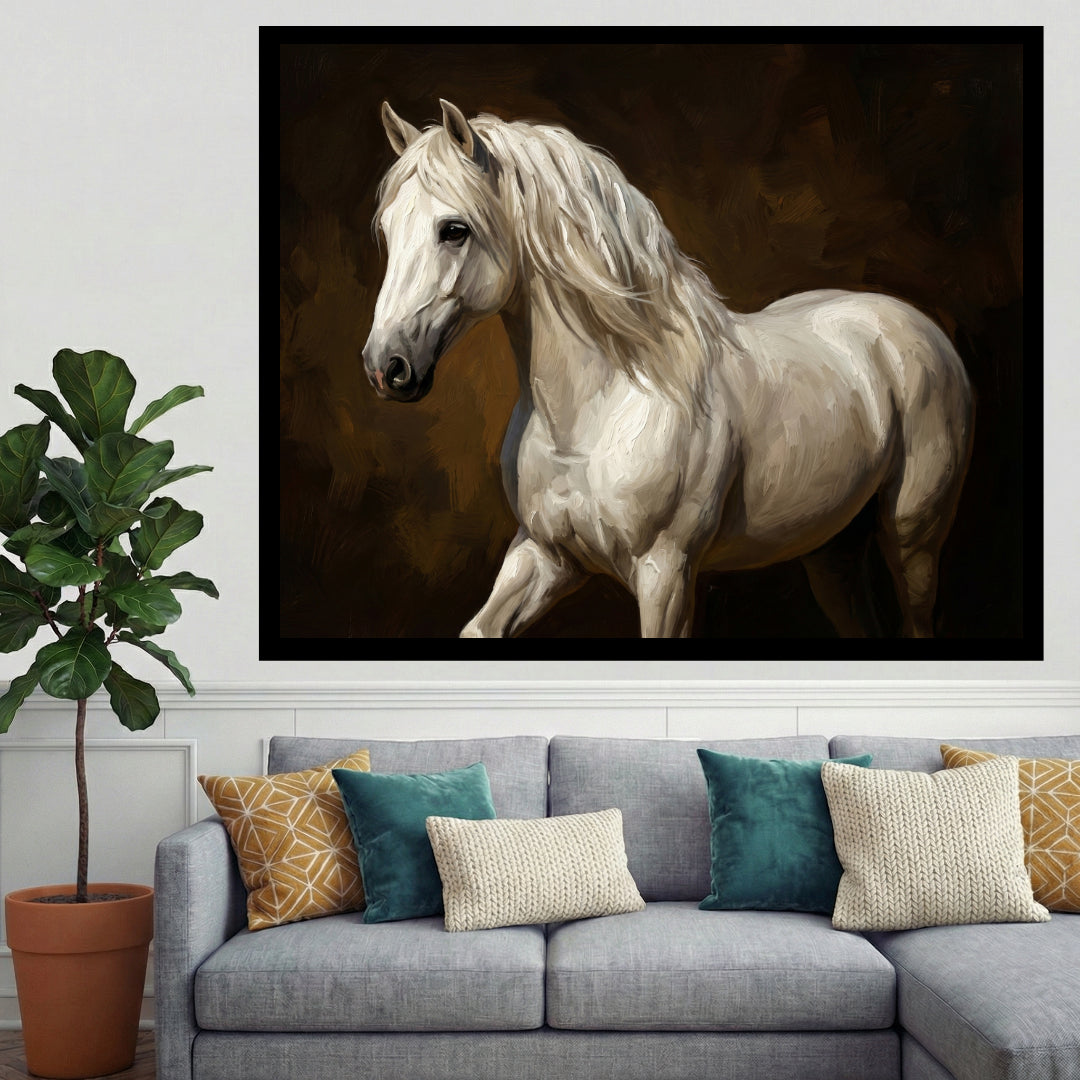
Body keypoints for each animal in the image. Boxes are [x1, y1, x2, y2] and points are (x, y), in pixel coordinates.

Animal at [362, 99, 975, 639]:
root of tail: (917, 326)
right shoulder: (543, 554)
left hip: (913, 541)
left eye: (454, 229)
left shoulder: (666, 575)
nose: (385, 366)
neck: (601, 408)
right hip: (831, 551)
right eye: (387, 231)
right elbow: (479, 629)